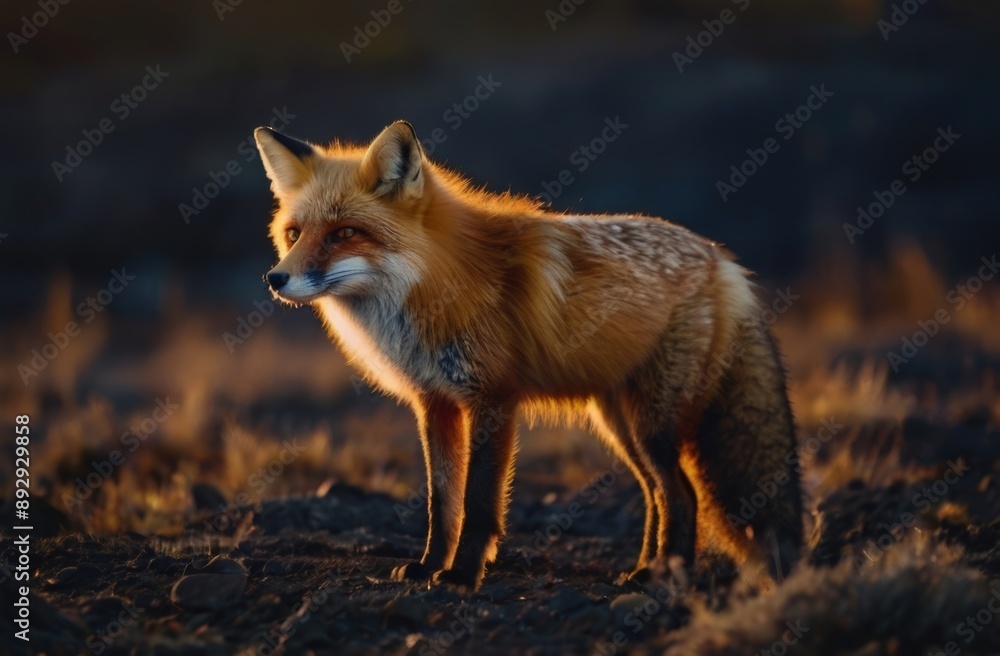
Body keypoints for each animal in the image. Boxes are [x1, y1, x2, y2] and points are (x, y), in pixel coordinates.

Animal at [253, 120, 803, 590]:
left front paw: (461, 577)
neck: (436, 284)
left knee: (683, 495)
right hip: (621, 423)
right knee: (659, 494)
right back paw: (645, 568)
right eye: (295, 234)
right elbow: (441, 501)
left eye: (345, 233)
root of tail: (722, 259)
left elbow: (478, 503)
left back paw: (665, 577)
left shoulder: (493, 398)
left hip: (653, 424)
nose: (276, 278)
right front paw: (429, 567)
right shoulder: (435, 403)